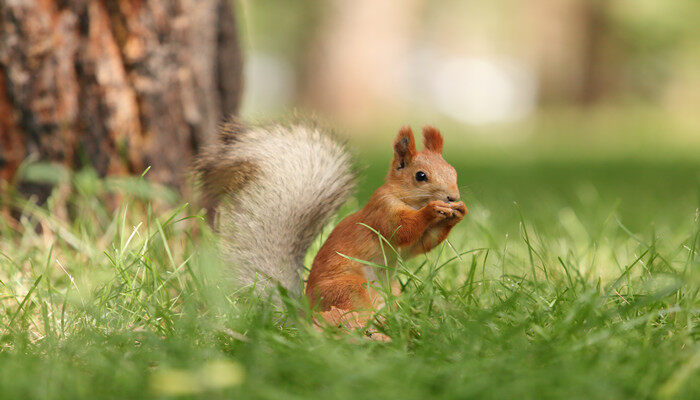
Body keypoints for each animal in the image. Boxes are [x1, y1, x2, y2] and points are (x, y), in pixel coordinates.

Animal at [196, 121, 464, 328]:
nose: (453, 197)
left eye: (453, 171)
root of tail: (306, 311)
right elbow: (404, 230)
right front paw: (432, 210)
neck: (407, 198)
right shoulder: (382, 212)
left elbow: (421, 244)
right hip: (350, 288)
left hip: (391, 290)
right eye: (421, 176)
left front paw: (458, 213)